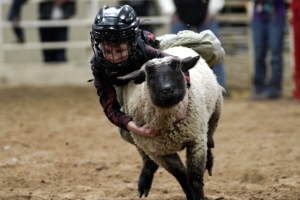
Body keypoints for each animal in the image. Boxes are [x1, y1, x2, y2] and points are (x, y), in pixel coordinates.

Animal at [118, 46, 224, 199]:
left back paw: (209, 160)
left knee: (209, 136)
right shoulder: (157, 152)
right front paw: (190, 195)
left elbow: (195, 178)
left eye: (177, 68)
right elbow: (182, 176)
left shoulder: (196, 141)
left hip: (215, 113)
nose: (167, 90)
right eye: (149, 74)